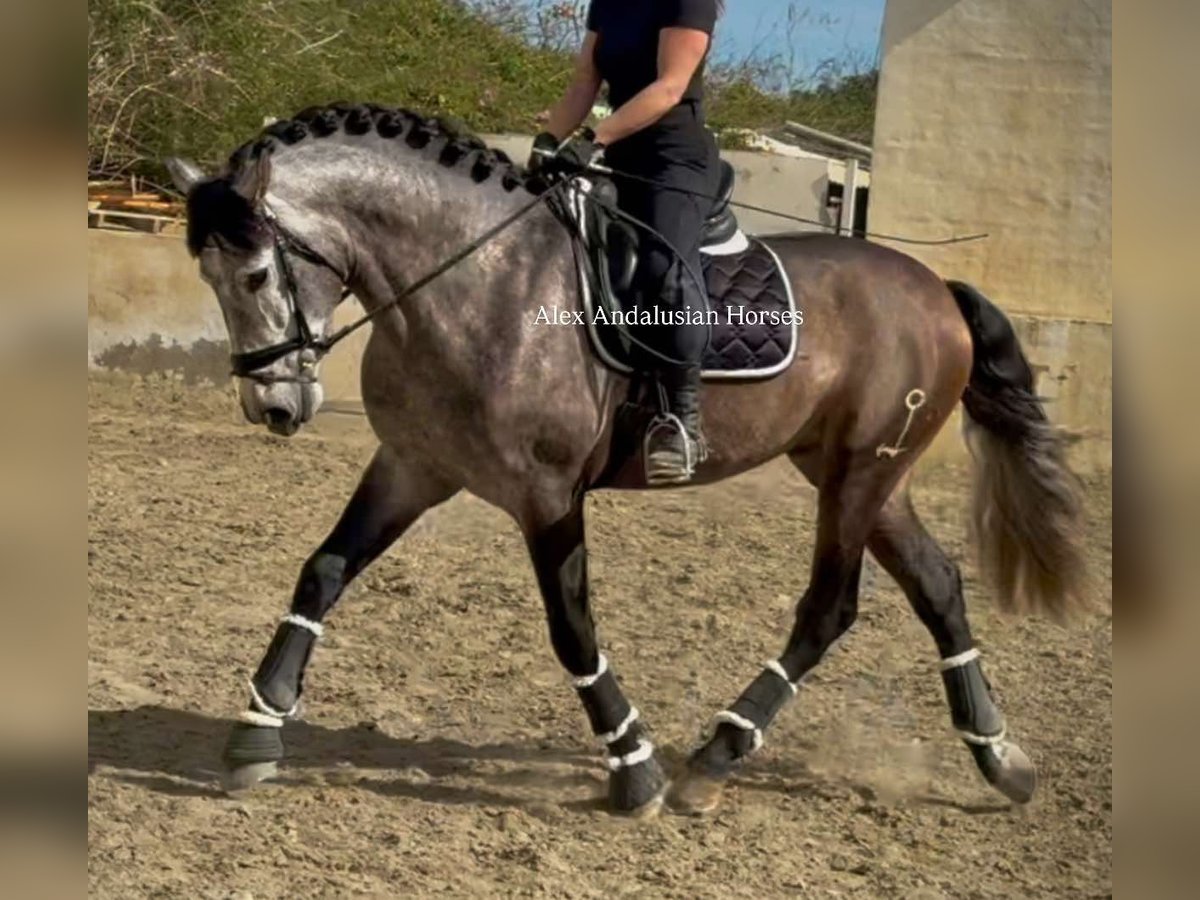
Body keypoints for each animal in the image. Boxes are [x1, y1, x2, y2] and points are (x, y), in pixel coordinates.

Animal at [169, 103, 1089, 816]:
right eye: (208, 279)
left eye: (255, 275)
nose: (274, 407)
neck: (476, 282)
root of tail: (938, 289)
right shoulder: (413, 466)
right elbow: (321, 572)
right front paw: (256, 732)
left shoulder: (545, 493)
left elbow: (572, 626)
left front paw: (633, 767)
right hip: (857, 471)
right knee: (938, 587)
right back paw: (999, 757)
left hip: (862, 473)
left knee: (829, 608)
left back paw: (713, 760)